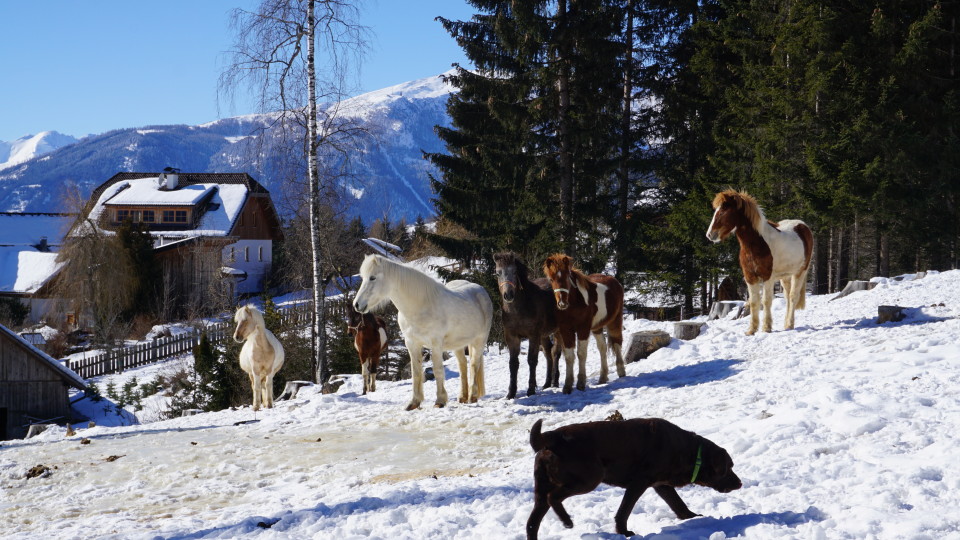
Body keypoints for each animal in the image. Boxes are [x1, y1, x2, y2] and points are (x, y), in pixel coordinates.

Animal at [352, 254, 496, 410]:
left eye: (372, 277)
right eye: (363, 277)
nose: (357, 305)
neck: (421, 306)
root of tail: (480, 290)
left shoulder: (436, 344)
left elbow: (438, 370)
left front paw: (440, 401)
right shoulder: (412, 343)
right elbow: (416, 372)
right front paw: (414, 402)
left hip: (480, 340)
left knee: (474, 364)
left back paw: (472, 396)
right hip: (457, 345)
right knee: (463, 365)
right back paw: (462, 397)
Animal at [492, 251, 560, 398]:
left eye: (514, 271)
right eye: (498, 273)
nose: (508, 295)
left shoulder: (533, 335)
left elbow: (532, 360)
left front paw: (531, 389)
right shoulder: (512, 337)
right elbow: (513, 363)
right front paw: (511, 392)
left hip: (558, 331)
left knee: (556, 353)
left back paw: (555, 382)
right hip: (544, 335)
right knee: (548, 352)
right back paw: (547, 383)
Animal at [524, 416, 744, 536]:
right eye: (729, 467)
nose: (740, 483)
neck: (689, 451)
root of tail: (550, 437)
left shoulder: (661, 485)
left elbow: (678, 504)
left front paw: (692, 517)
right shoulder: (639, 482)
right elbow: (624, 511)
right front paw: (624, 533)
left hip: (541, 490)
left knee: (532, 523)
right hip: (589, 478)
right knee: (554, 497)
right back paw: (567, 521)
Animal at [544, 253, 628, 392]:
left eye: (567, 277)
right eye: (551, 279)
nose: (562, 303)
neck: (575, 303)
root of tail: (615, 281)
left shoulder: (583, 329)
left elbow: (581, 354)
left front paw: (581, 383)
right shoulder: (566, 330)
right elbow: (569, 356)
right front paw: (567, 385)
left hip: (615, 321)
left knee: (617, 343)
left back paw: (621, 371)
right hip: (597, 327)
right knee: (602, 348)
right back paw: (603, 377)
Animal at [708, 189, 812, 334]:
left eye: (723, 210)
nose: (710, 234)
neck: (757, 244)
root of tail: (803, 226)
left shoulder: (767, 277)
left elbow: (766, 301)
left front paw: (766, 328)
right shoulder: (750, 278)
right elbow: (753, 302)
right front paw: (751, 330)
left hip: (800, 272)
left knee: (793, 296)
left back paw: (790, 325)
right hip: (785, 276)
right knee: (787, 297)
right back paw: (786, 324)